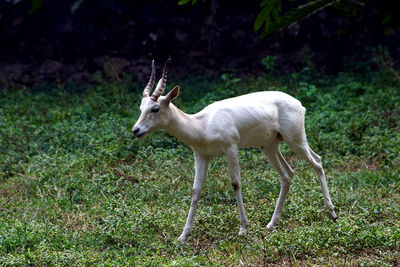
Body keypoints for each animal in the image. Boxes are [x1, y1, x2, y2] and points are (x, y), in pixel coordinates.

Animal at [133, 60, 336, 245]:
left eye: (155, 108)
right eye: (140, 108)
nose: (136, 130)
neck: (202, 125)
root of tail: (299, 103)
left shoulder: (231, 148)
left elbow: (236, 184)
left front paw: (243, 228)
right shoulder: (201, 155)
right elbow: (195, 190)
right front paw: (183, 236)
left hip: (296, 140)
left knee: (317, 161)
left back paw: (332, 212)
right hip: (269, 146)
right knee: (287, 174)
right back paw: (272, 224)